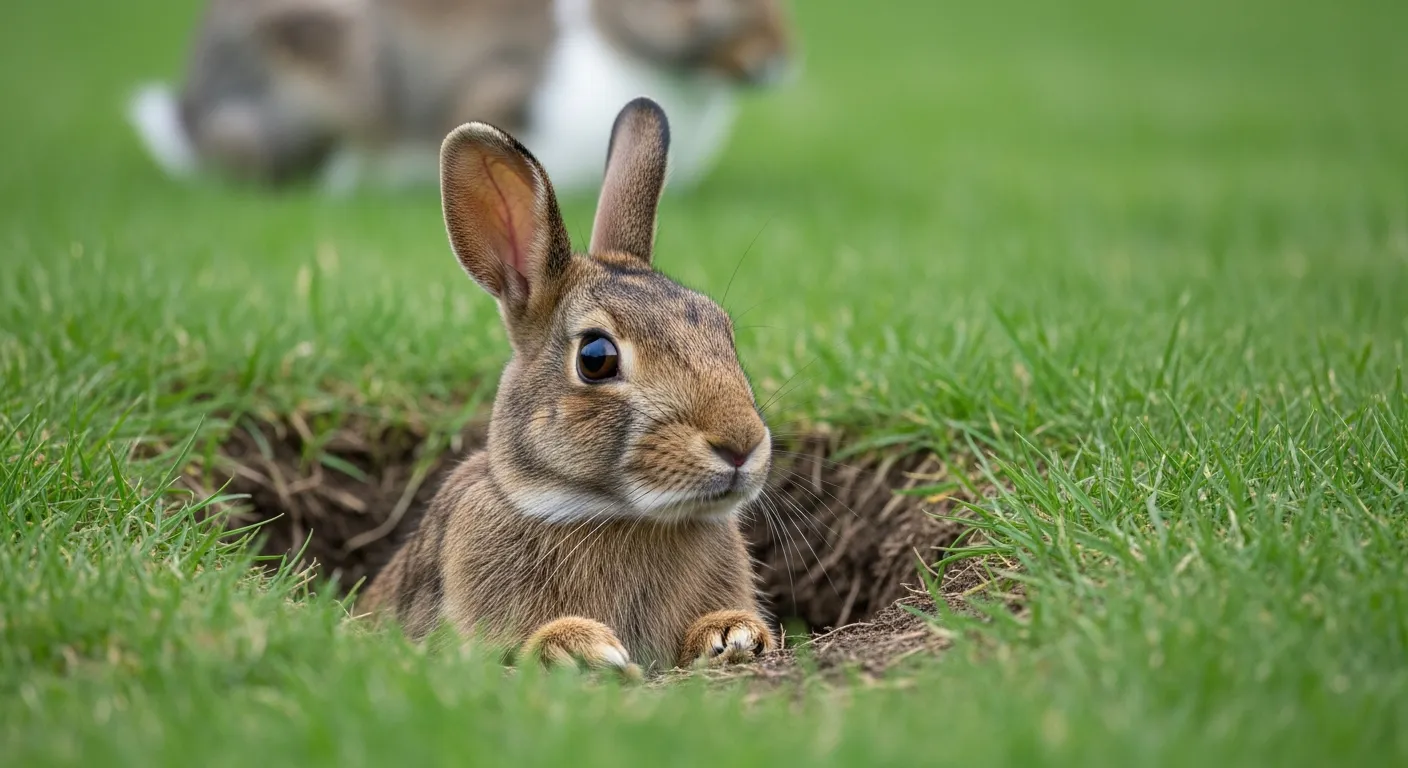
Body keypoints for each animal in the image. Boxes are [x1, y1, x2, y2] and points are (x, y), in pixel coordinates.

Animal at [358, 97, 777, 675]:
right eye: (596, 359)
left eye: (724, 332)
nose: (741, 445)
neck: (611, 515)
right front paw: (579, 647)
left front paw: (733, 632)